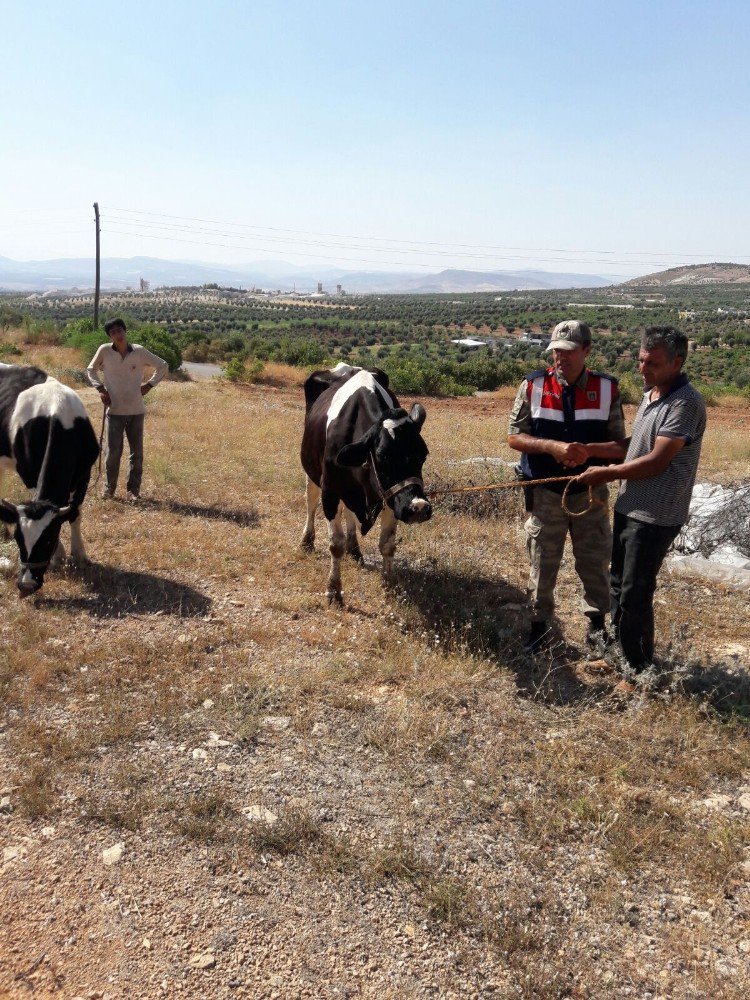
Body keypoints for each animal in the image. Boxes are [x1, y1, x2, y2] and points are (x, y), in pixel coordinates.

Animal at [0, 364, 100, 592]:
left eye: (47, 540)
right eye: (19, 540)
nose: (27, 585)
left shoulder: (84, 472)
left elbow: (74, 513)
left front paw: (79, 555)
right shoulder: (28, 473)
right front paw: (59, 556)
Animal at [298, 366, 432, 604]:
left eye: (423, 455)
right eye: (382, 456)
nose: (418, 507)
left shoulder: (391, 497)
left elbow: (387, 544)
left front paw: (390, 586)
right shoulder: (330, 492)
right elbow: (335, 544)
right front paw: (334, 590)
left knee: (349, 513)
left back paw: (355, 549)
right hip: (312, 473)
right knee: (310, 502)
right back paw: (307, 541)